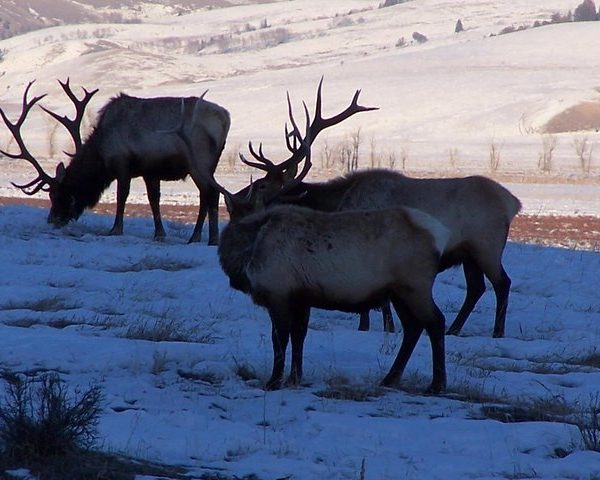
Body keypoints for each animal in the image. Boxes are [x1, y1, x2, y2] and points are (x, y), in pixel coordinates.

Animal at [0, 80, 231, 244]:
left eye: (58, 194)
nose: (52, 220)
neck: (102, 153)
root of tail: (225, 118)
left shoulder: (123, 164)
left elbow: (122, 196)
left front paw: (115, 229)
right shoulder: (150, 170)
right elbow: (153, 200)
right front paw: (159, 234)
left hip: (199, 162)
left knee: (212, 193)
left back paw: (209, 238)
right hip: (206, 165)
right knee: (206, 195)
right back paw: (198, 237)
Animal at [233, 79, 520, 338]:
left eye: (261, 185)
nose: (234, 201)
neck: (336, 203)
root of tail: (513, 203)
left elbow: (377, 301)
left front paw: (376, 327)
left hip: (486, 244)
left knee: (502, 283)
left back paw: (497, 331)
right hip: (469, 253)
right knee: (476, 288)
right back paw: (454, 328)